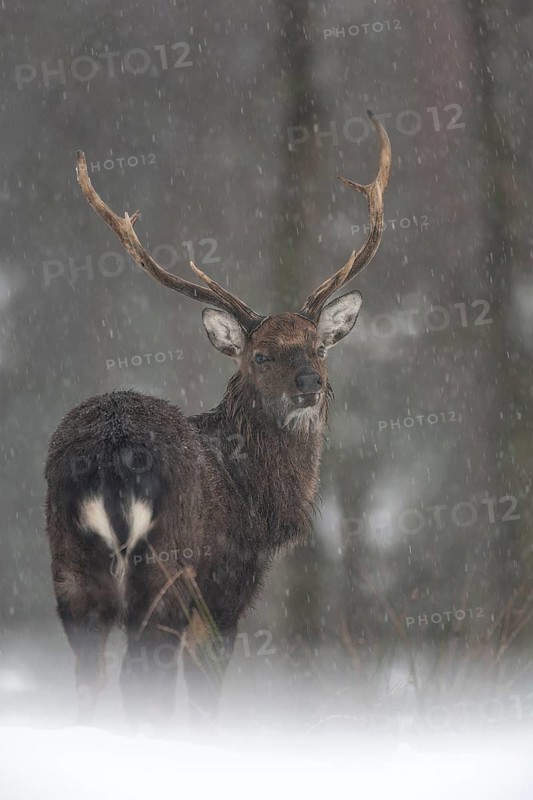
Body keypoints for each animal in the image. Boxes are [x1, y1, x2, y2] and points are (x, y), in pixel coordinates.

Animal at [44, 110, 391, 727]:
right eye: (261, 355)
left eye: (318, 348)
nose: (311, 384)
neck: (259, 494)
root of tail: (109, 462)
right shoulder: (227, 587)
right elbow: (207, 694)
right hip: (166, 566)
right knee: (143, 679)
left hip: (72, 566)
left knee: (90, 677)